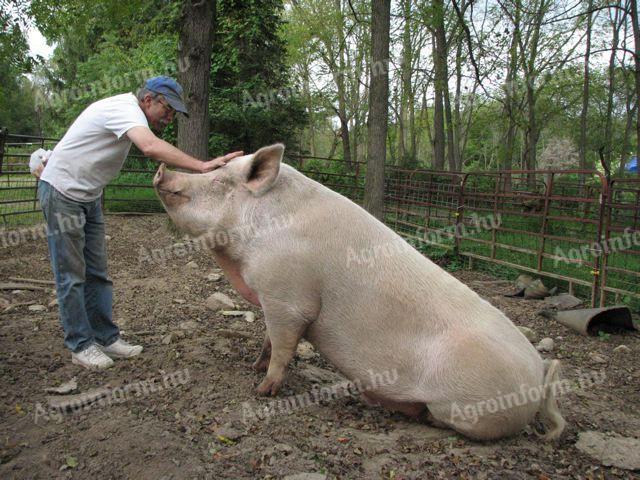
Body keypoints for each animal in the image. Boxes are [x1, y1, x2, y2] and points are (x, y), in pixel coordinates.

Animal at [154, 144, 564, 440]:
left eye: (221, 180)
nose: (161, 170)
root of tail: (540, 377)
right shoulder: (273, 298)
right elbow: (268, 338)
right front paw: (254, 365)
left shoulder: (290, 297)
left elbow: (284, 346)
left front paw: (261, 389)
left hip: (468, 407)